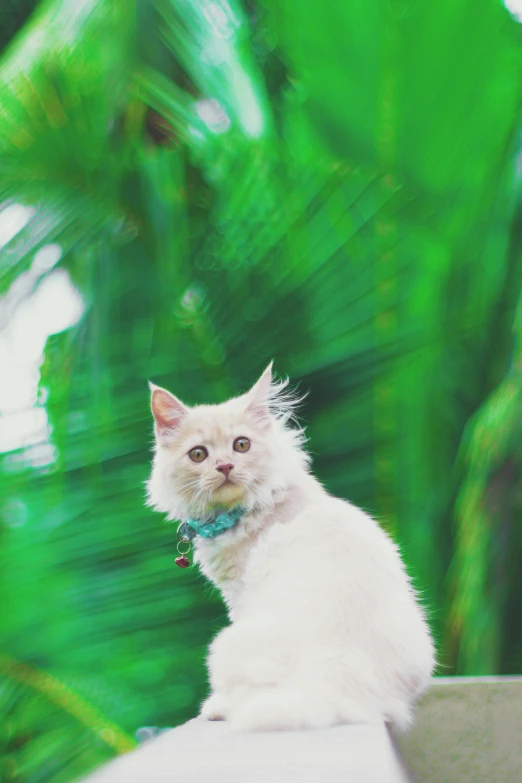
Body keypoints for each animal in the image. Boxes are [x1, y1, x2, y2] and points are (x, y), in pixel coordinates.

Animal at [144, 364, 432, 732]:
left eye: (241, 445)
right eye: (198, 454)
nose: (225, 467)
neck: (248, 510)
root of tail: (335, 680)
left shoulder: (238, 596)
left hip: (226, 645)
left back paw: (216, 707)